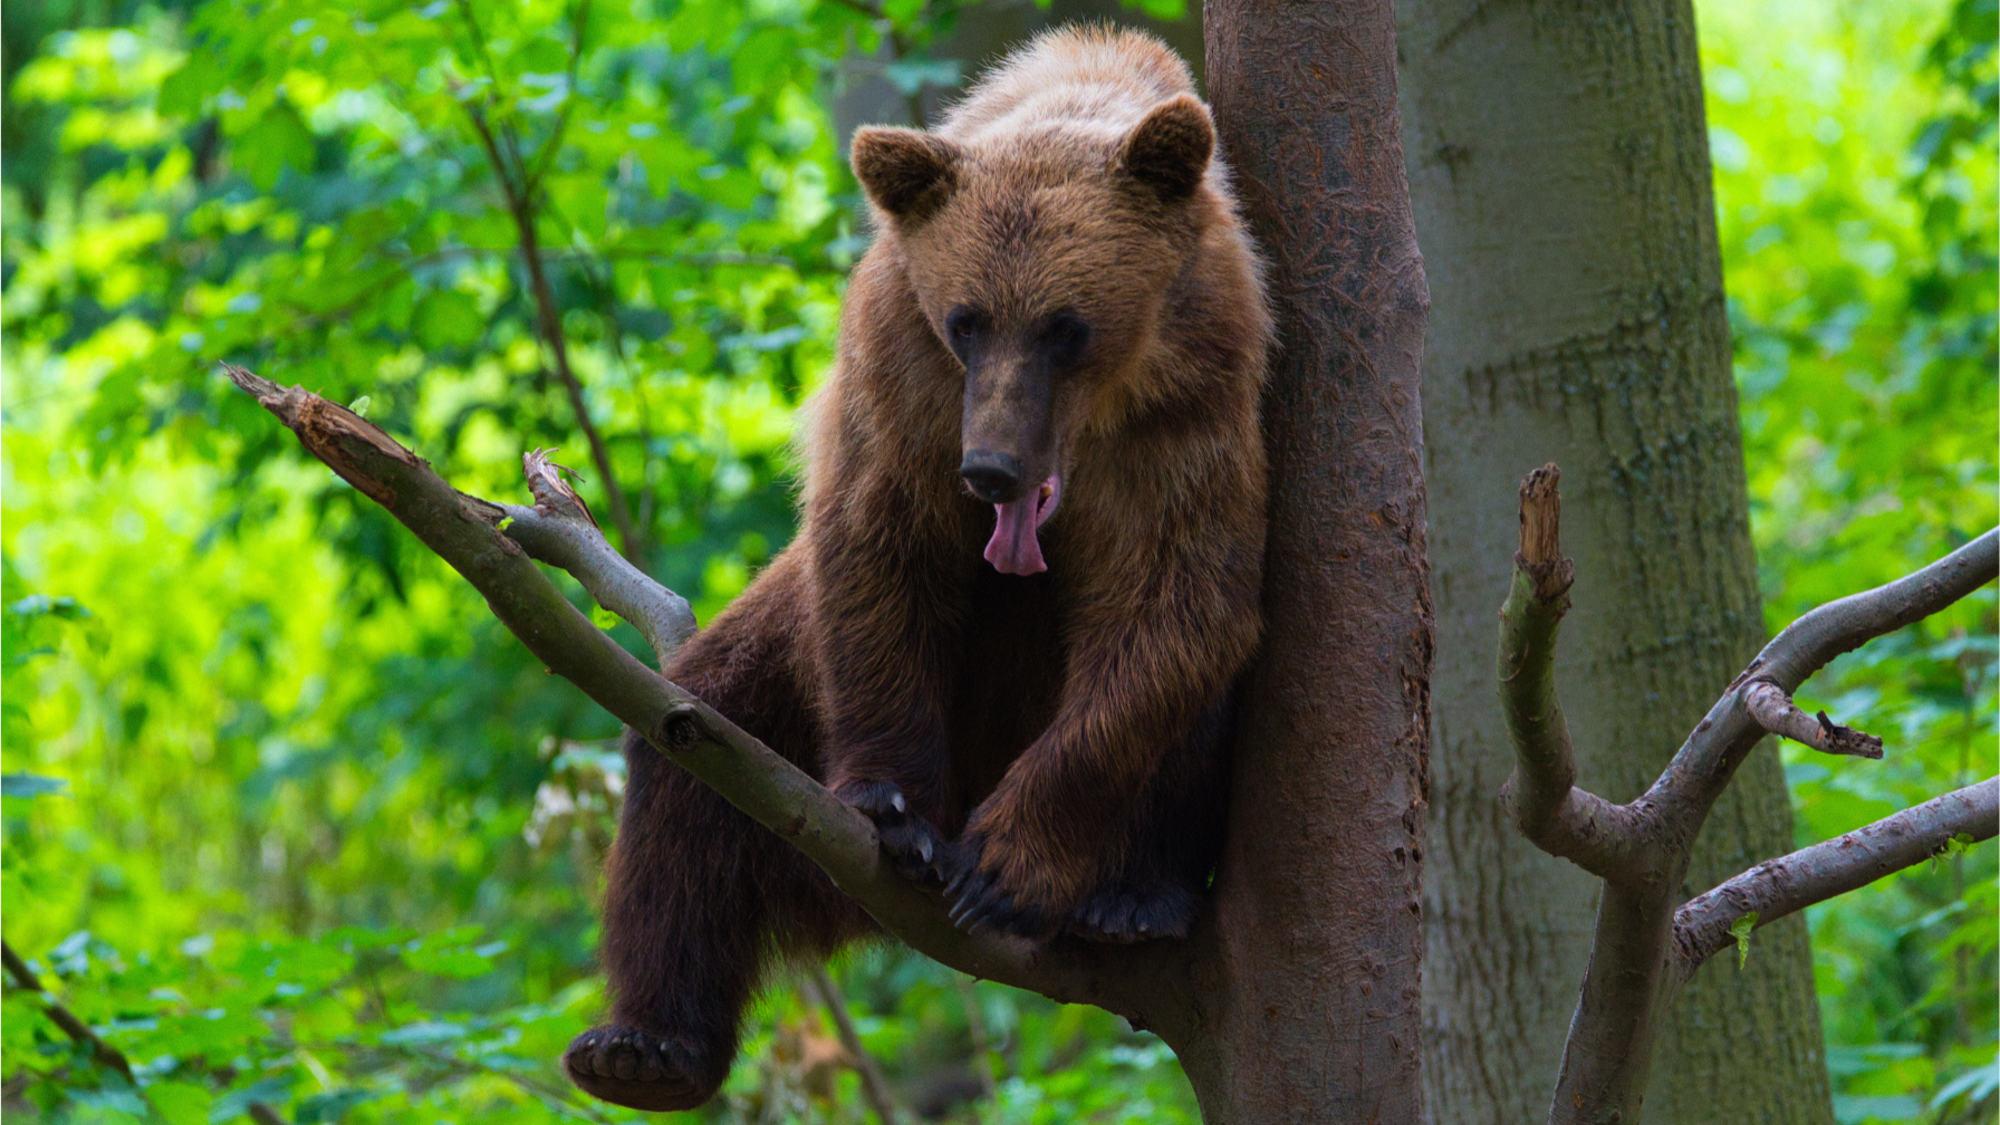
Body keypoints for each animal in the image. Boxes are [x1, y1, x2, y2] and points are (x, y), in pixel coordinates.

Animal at [562, 25, 1271, 1112]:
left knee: (1191, 710)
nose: (991, 470)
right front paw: (894, 810)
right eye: (967, 319)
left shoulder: (1193, 412)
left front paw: (1009, 864)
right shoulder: (900, 386)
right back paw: (642, 1044)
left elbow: (1171, 611)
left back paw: (1131, 897)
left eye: (1065, 325)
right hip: (777, 674)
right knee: (696, 749)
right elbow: (881, 558)